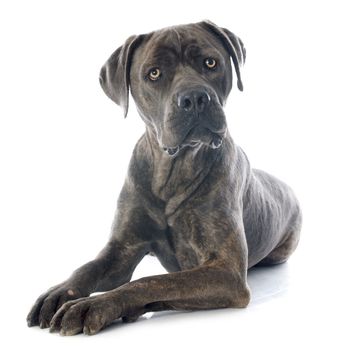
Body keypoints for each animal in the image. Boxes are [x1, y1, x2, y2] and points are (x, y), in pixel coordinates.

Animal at [26, 19, 300, 336]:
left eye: (210, 62)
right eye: (154, 73)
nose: (195, 98)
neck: (174, 170)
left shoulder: (226, 270)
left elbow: (150, 281)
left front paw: (93, 305)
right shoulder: (122, 248)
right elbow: (88, 267)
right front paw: (60, 293)